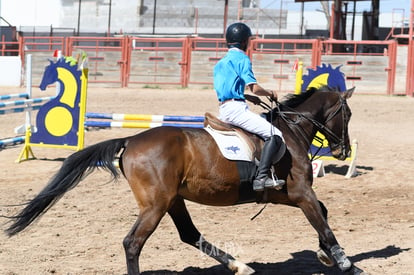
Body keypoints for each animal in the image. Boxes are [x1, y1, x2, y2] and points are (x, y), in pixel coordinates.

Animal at [4, 87, 364, 274]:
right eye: (347, 114)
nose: (343, 151)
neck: (289, 133)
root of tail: (131, 140)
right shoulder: (300, 192)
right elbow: (323, 222)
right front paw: (345, 263)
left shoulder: (286, 194)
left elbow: (323, 214)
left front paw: (325, 256)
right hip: (156, 204)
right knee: (133, 242)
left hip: (173, 200)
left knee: (190, 235)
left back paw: (239, 265)